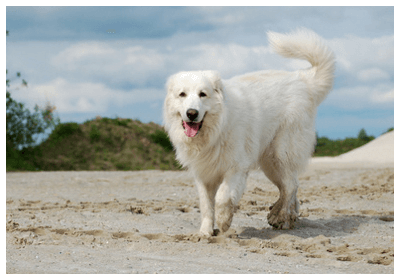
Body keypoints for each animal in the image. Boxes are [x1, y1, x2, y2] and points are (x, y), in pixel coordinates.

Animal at [162, 28, 334, 235]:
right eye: (182, 94)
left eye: (203, 94)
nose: (192, 113)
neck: (216, 131)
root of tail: (303, 79)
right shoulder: (203, 174)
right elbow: (206, 205)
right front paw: (205, 232)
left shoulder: (236, 167)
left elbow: (222, 197)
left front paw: (224, 221)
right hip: (270, 163)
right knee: (289, 187)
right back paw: (282, 215)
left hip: (281, 153)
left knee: (291, 185)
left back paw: (282, 217)